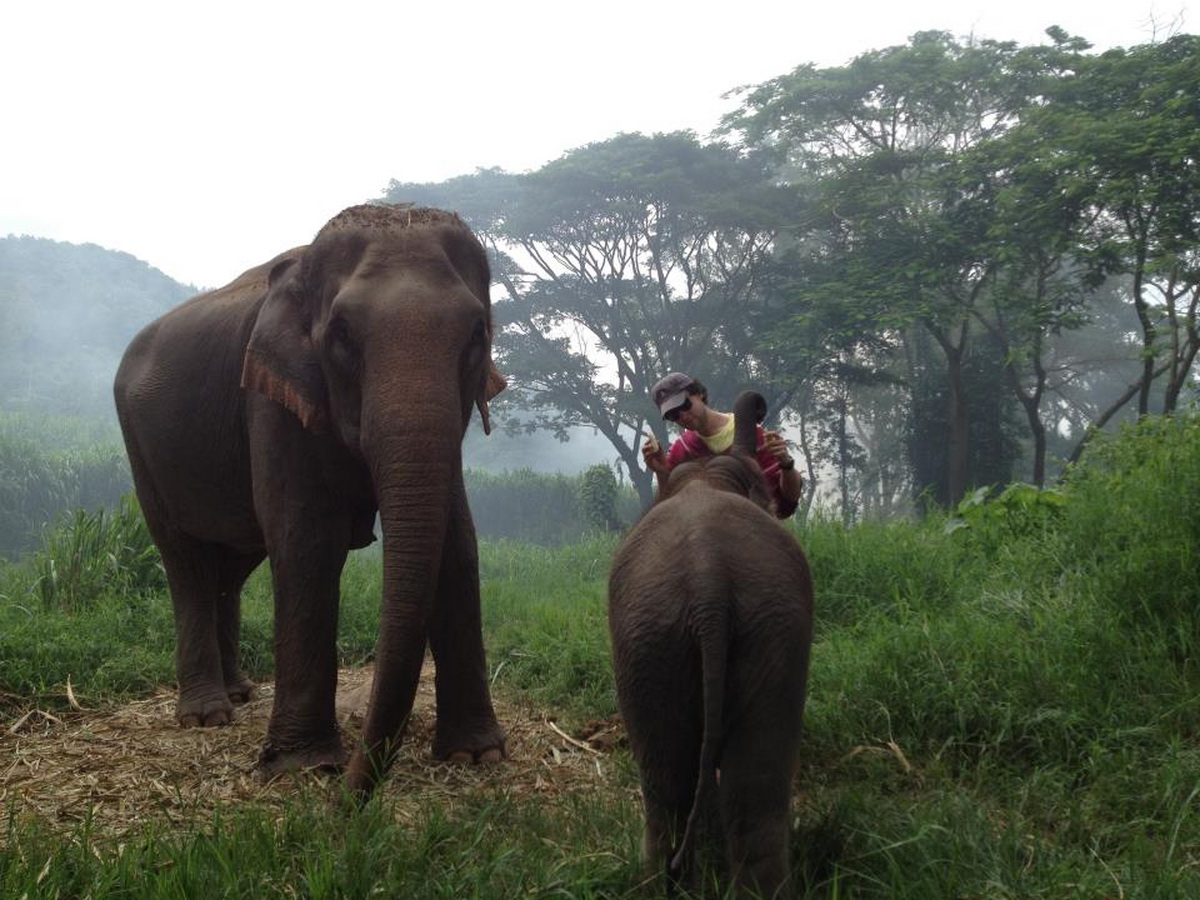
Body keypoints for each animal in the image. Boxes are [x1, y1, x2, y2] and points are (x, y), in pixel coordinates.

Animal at [113, 204, 506, 796]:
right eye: (341, 335)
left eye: (477, 333)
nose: (350, 798)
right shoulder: (271, 396)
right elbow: (306, 541)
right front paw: (305, 766)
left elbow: (458, 542)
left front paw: (475, 755)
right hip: (142, 449)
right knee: (186, 562)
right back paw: (206, 716)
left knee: (232, 565)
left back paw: (240, 693)